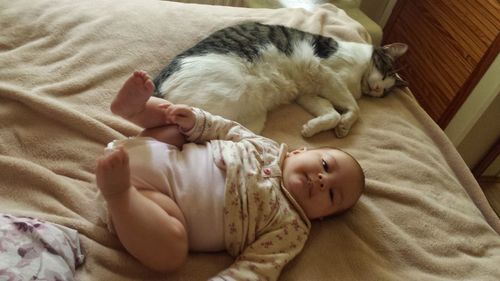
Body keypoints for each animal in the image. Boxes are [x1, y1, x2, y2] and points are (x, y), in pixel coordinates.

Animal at [152, 21, 406, 137]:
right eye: (385, 71)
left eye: (385, 93)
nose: (377, 90)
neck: (357, 82)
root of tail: (157, 84)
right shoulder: (326, 74)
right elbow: (354, 108)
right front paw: (345, 124)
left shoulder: (307, 94)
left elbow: (331, 113)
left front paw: (313, 128)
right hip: (230, 94)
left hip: (251, 118)